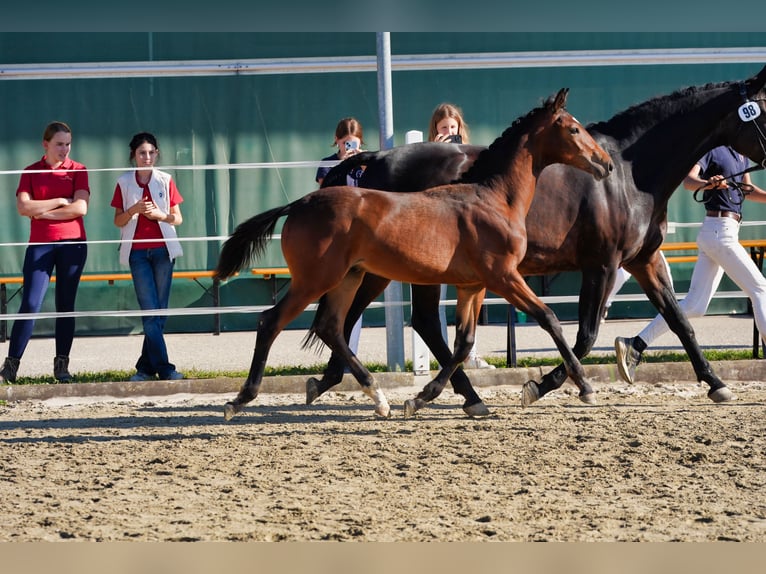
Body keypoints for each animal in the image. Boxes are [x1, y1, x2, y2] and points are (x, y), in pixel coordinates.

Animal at [215, 88, 614, 420]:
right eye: (574, 129)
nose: (606, 164)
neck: (494, 198)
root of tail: (298, 204)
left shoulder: (473, 286)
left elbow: (464, 343)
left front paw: (424, 397)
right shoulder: (504, 277)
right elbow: (549, 318)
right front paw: (582, 386)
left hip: (349, 277)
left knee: (330, 326)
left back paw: (378, 397)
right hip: (316, 279)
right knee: (271, 322)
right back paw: (240, 400)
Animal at [307, 64, 766, 415]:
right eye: (762, 109)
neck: (628, 173)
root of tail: (376, 158)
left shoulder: (643, 260)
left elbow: (680, 320)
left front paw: (715, 382)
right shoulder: (602, 265)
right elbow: (585, 335)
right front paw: (546, 386)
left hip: (386, 267)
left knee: (362, 317)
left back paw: (342, 382)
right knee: (407, 321)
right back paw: (448, 395)